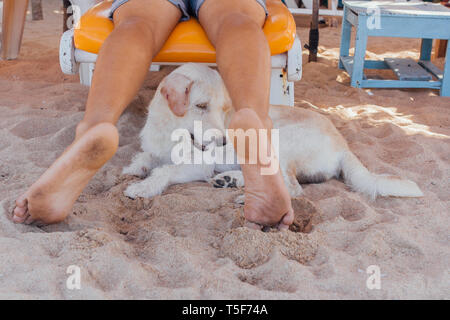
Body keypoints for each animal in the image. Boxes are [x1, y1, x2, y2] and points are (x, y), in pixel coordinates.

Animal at [122, 63, 422, 200]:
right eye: (201, 106)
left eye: (224, 109)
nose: (224, 141)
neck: (171, 131)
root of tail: (344, 145)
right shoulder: (155, 149)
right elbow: (145, 158)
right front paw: (134, 168)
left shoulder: (199, 163)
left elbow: (165, 171)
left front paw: (143, 187)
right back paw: (230, 180)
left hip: (278, 142)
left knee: (291, 188)